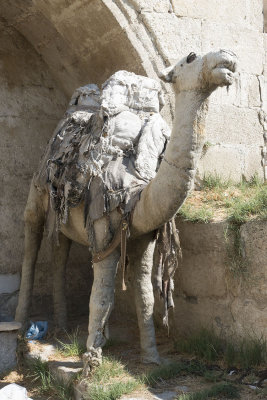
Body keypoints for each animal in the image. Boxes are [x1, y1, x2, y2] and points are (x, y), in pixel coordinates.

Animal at [14, 48, 238, 370]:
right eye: (191, 57)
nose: (227, 57)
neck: (135, 194)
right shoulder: (102, 232)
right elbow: (101, 295)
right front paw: (90, 364)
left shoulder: (144, 237)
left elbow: (144, 294)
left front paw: (152, 357)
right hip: (37, 191)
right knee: (30, 242)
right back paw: (20, 327)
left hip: (64, 218)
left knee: (60, 253)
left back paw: (64, 326)